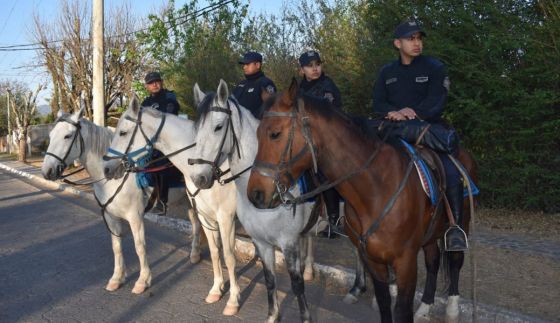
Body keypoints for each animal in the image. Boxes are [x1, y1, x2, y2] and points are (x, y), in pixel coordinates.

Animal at [42, 109, 203, 296]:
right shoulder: (111, 217)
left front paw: (143, 281)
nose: (47, 171)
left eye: (67, 136)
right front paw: (117, 278)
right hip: (188, 201)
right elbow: (116, 247)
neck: (115, 176)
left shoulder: (135, 217)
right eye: (51, 135)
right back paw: (194, 253)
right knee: (195, 223)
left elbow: (139, 246)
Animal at [101, 99, 242, 316]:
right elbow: (215, 251)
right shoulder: (207, 215)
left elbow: (229, 255)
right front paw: (217, 290)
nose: (107, 169)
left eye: (123, 132)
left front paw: (233, 300)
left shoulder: (226, 216)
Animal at [188, 80, 332, 323]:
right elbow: (268, 280)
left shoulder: (287, 242)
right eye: (196, 129)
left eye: (218, 127)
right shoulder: (260, 241)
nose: (199, 178)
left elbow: (296, 285)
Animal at [246, 78, 476, 323]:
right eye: (257, 134)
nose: (255, 193)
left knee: (455, 260)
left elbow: (402, 310)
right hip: (430, 235)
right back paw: (425, 306)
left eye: (275, 134)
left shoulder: (405, 262)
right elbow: (384, 304)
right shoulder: (374, 260)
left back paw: (452, 309)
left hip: (461, 224)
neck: (376, 188)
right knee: (433, 261)